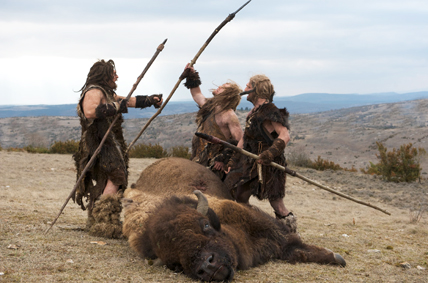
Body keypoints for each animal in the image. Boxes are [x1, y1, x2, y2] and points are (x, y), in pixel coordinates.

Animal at [122, 158, 346, 282]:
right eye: (174, 265)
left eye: (204, 225)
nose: (208, 267)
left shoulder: (272, 231)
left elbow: (299, 248)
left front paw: (337, 258)